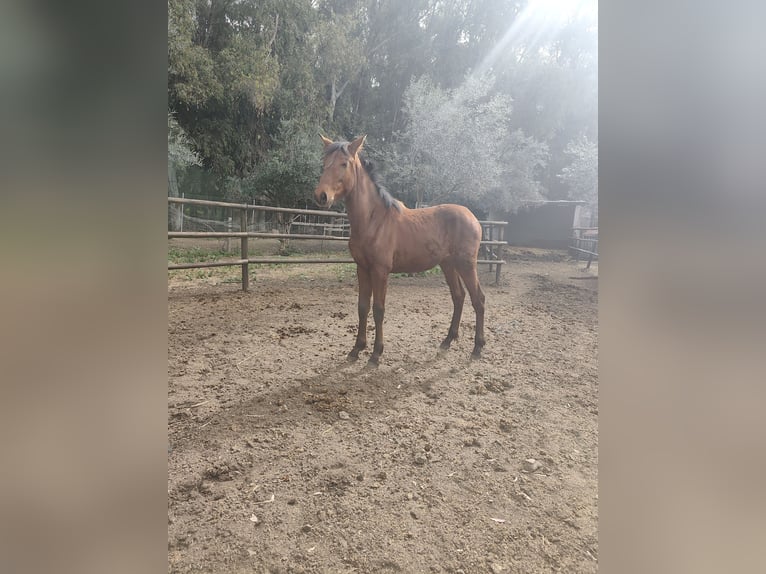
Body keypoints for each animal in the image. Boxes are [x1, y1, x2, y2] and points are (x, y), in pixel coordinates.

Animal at [313, 134, 486, 367]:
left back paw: (477, 348)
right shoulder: (362, 268)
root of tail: (473, 218)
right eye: (324, 163)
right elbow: (362, 307)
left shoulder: (380, 271)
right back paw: (447, 341)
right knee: (458, 297)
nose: (321, 196)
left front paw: (376, 354)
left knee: (478, 299)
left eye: (344, 163)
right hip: (448, 264)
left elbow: (378, 309)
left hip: (466, 264)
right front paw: (356, 349)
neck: (374, 220)